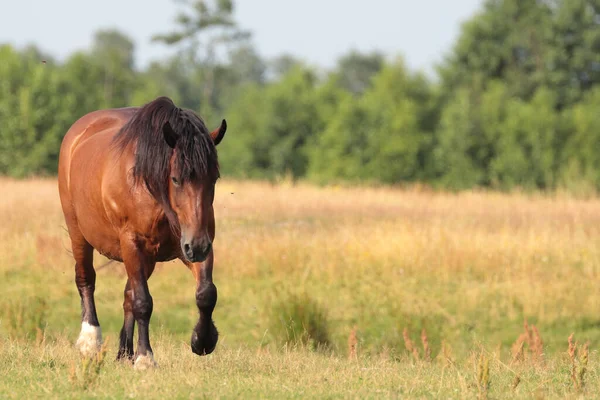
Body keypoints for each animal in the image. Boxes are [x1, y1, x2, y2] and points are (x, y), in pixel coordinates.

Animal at [58, 96, 227, 368]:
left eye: (214, 178)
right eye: (176, 179)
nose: (197, 247)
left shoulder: (193, 242)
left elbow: (206, 293)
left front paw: (202, 340)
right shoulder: (133, 244)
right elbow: (143, 302)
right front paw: (146, 358)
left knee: (128, 294)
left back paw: (124, 352)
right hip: (79, 234)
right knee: (86, 279)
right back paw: (90, 341)